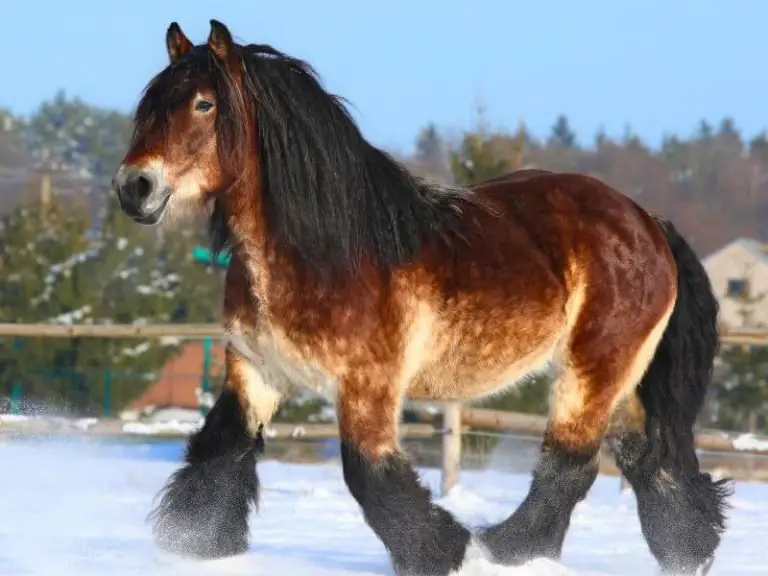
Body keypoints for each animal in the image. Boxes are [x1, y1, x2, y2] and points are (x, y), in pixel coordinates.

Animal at [111, 19, 731, 576]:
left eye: (204, 104)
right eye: (151, 102)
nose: (133, 187)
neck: (323, 250)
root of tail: (647, 221)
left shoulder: (368, 383)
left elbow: (369, 474)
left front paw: (443, 553)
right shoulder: (255, 370)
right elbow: (221, 450)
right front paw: (196, 548)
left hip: (591, 370)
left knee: (572, 463)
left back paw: (506, 551)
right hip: (624, 382)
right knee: (648, 460)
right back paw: (684, 553)